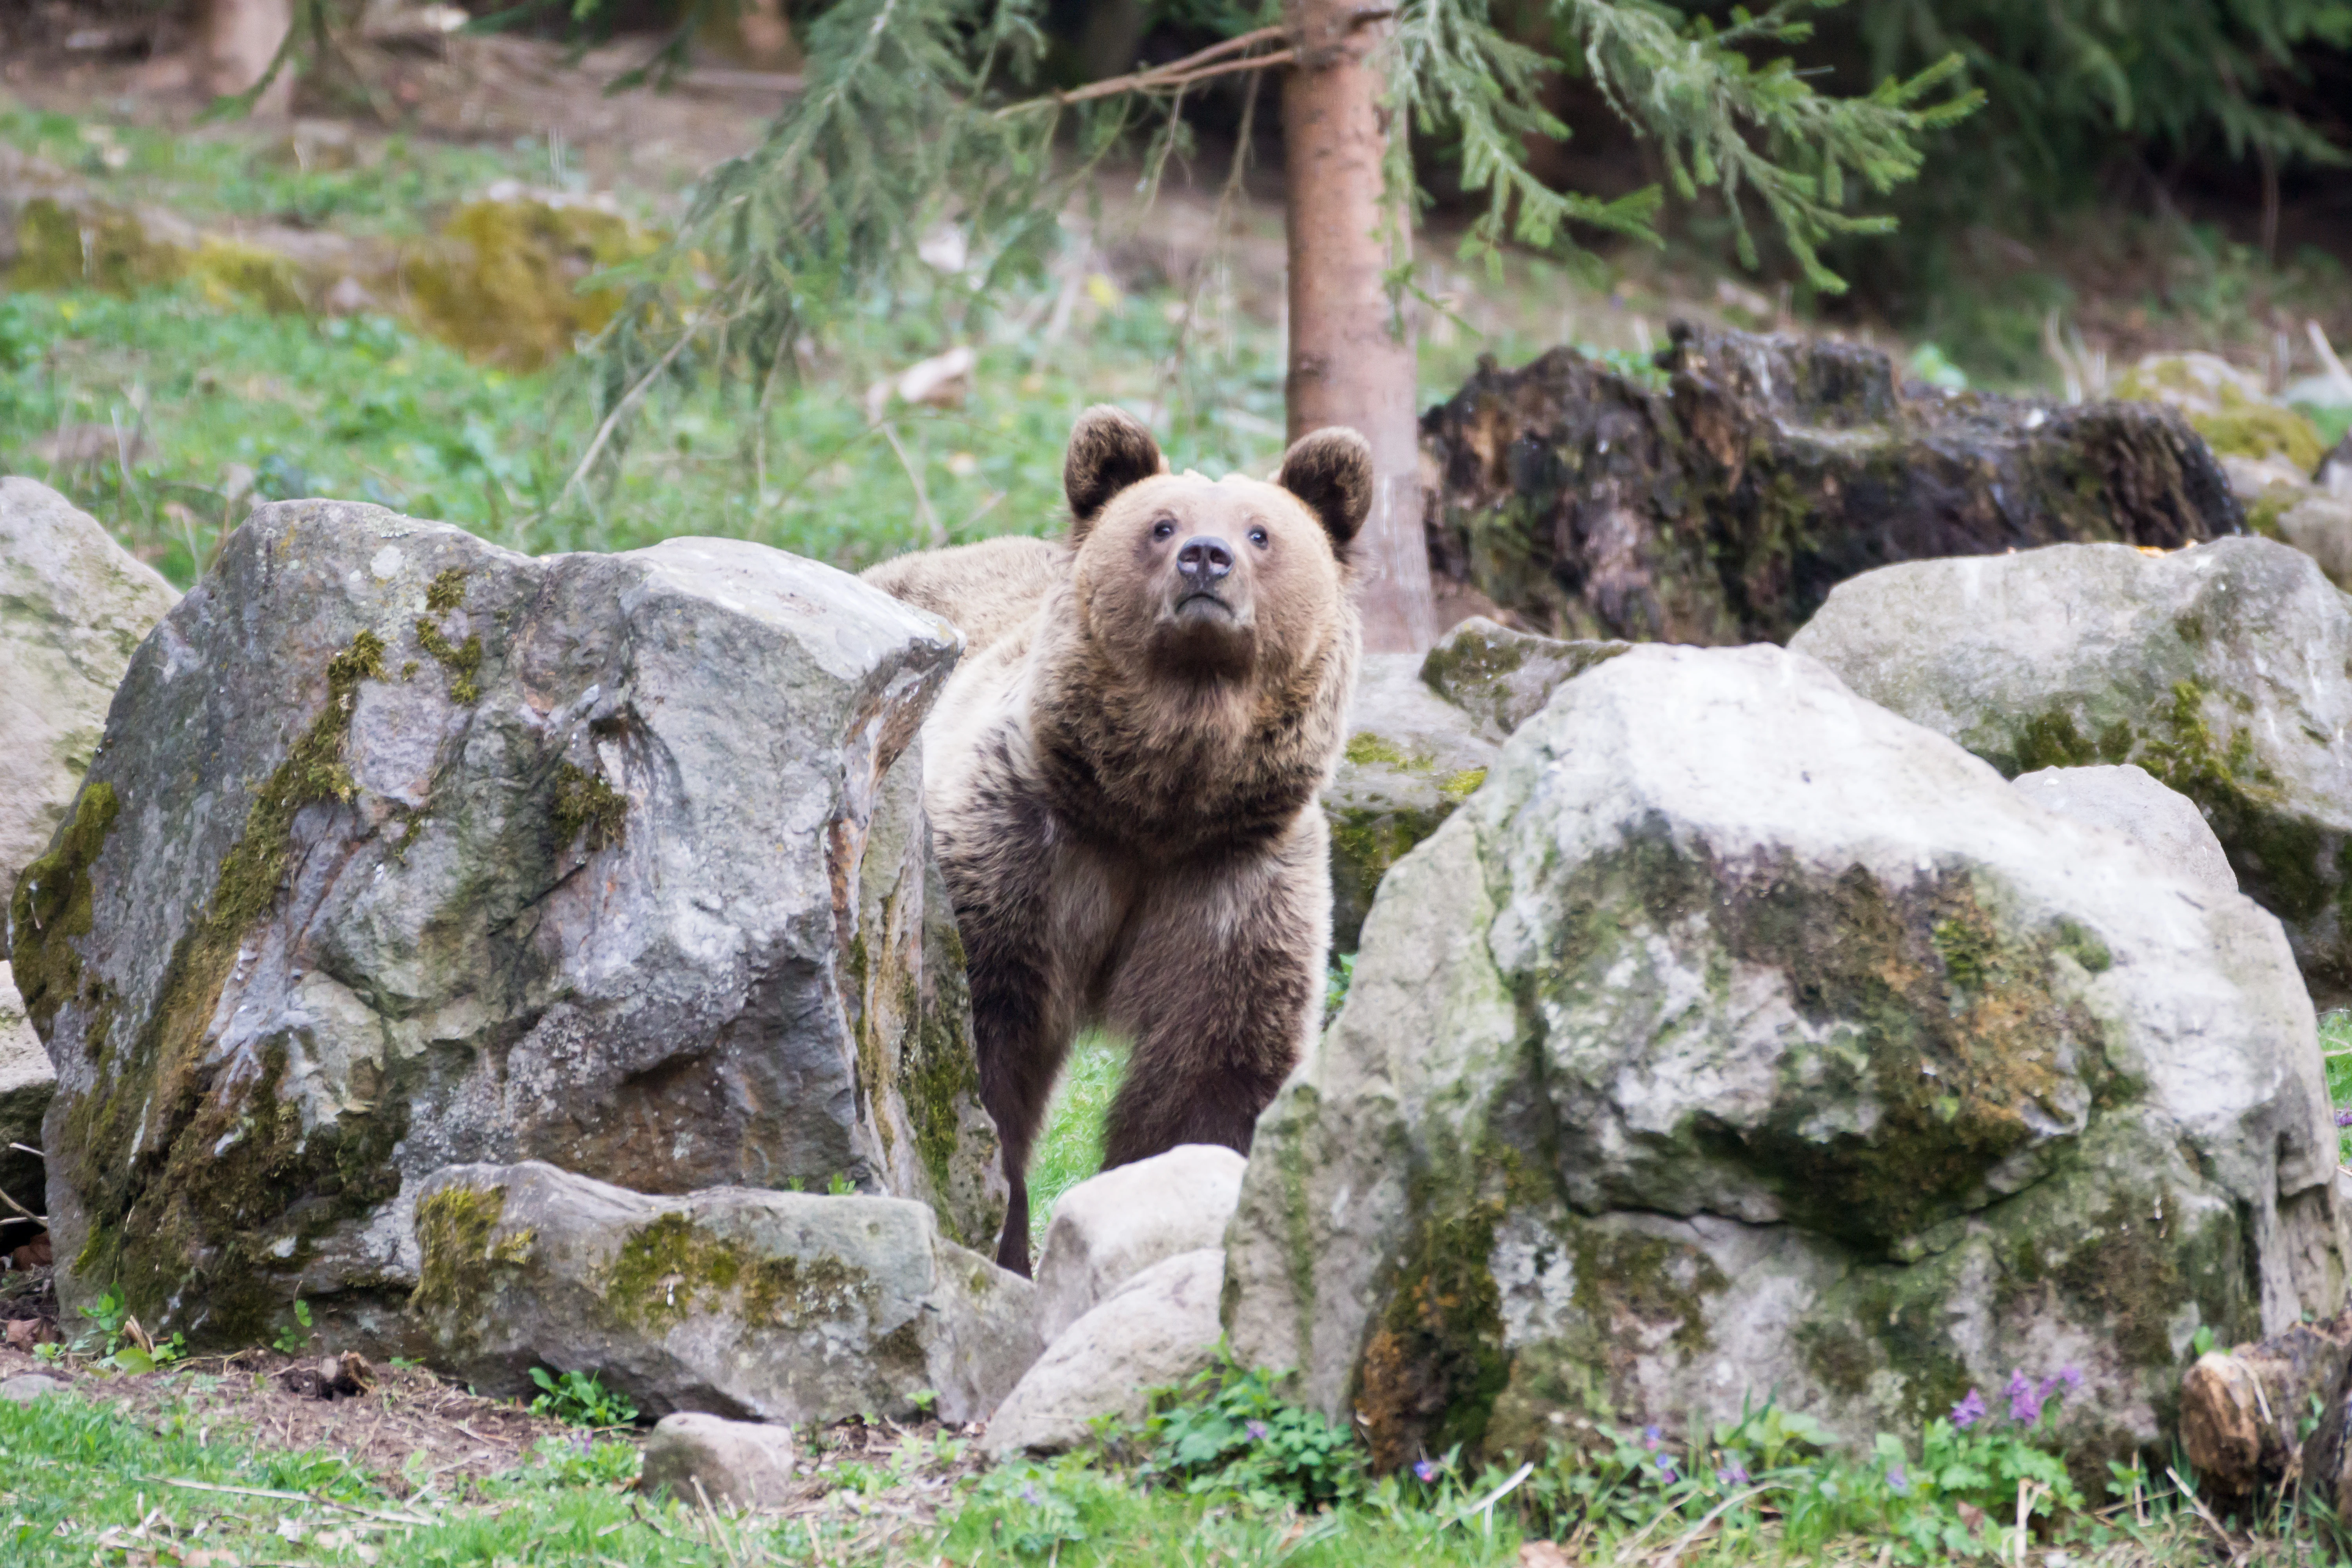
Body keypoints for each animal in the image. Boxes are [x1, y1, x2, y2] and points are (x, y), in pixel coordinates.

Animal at [862, 405, 1370, 1274]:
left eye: (1261, 531)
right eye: (1162, 524)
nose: (1208, 557)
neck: (1153, 806)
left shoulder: (1232, 880)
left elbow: (1213, 1068)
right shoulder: (1023, 848)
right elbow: (986, 1048)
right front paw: (1005, 1238)